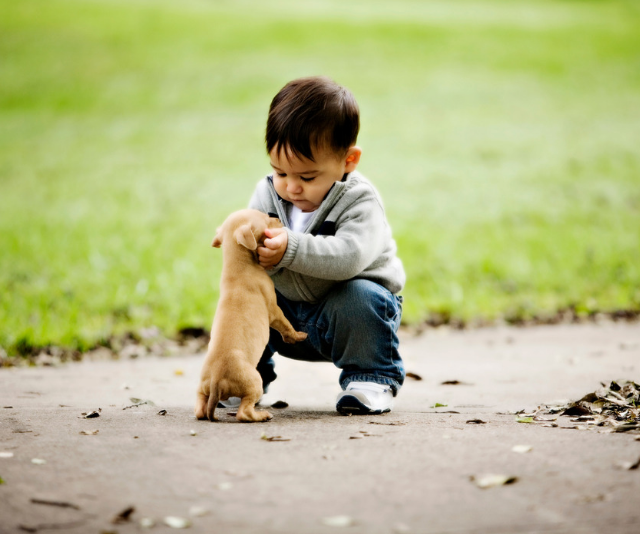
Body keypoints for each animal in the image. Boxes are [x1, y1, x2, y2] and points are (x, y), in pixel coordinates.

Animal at [194, 209, 306, 422]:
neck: (238, 264)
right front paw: (297, 336)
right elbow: (286, 324)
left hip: (202, 388)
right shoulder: (273, 310)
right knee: (244, 413)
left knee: (200, 410)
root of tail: (215, 381)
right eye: (265, 218)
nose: (276, 217)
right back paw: (262, 415)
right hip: (254, 382)